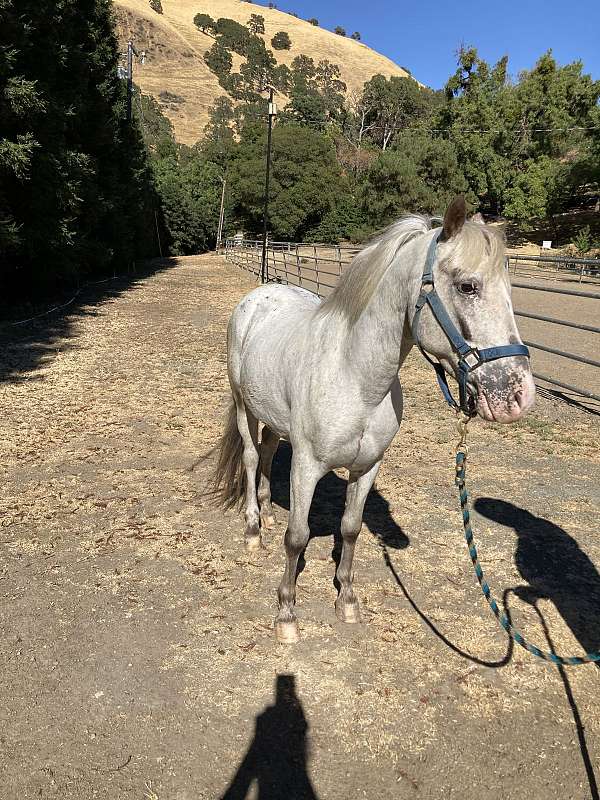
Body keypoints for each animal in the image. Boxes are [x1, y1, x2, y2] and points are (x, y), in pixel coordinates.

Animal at [211, 198, 536, 644]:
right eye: (468, 286)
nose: (518, 394)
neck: (355, 377)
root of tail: (260, 294)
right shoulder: (306, 467)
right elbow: (297, 538)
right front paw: (287, 614)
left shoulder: (367, 467)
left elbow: (350, 527)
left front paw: (347, 600)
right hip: (244, 408)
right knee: (249, 457)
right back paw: (253, 529)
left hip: (273, 419)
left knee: (268, 453)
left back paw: (267, 511)